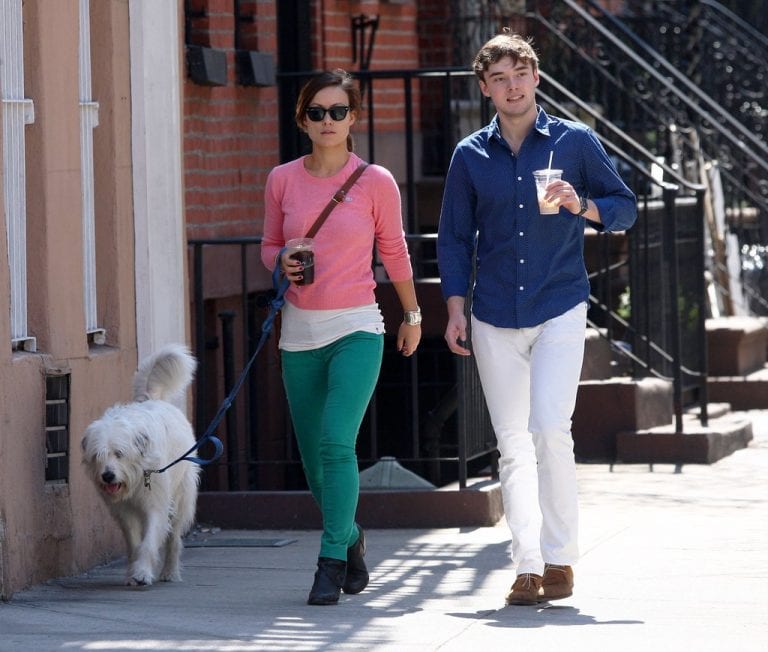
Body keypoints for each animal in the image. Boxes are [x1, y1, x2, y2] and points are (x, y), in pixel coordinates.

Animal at [81, 344, 201, 586]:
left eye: (119, 454)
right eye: (98, 455)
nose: (107, 476)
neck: (137, 475)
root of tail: (152, 398)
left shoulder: (156, 504)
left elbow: (149, 541)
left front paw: (142, 572)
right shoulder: (124, 511)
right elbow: (135, 543)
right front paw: (133, 572)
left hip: (182, 497)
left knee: (173, 538)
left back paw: (170, 572)